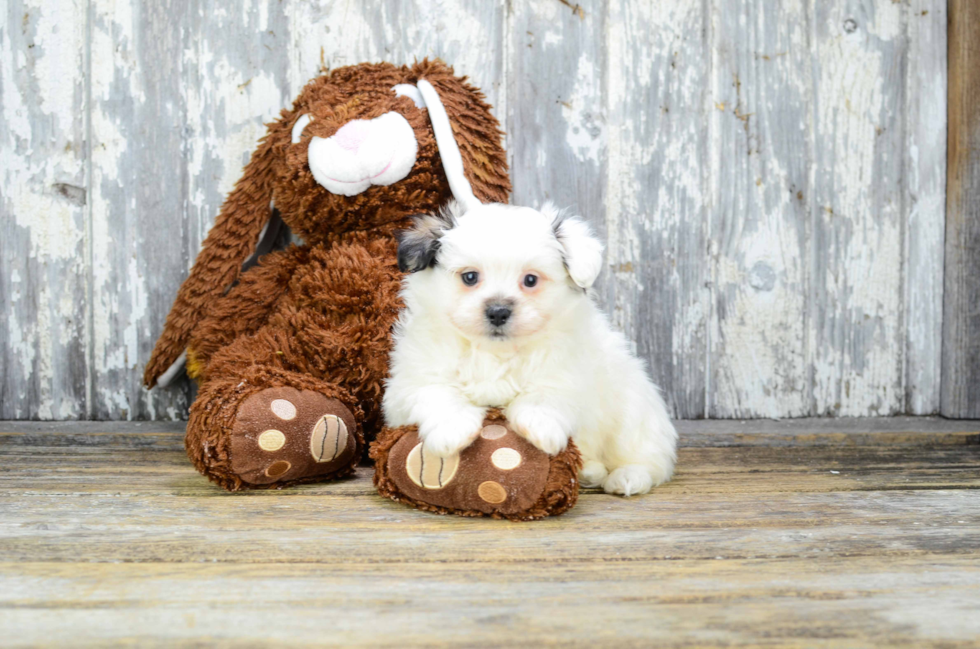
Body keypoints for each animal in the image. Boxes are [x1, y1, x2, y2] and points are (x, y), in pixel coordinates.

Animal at [384, 200, 680, 494]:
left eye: (530, 280)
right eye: (469, 277)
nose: (498, 311)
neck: (494, 352)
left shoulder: (568, 370)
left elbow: (546, 392)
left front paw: (540, 426)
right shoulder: (412, 378)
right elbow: (437, 391)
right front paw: (452, 429)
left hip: (634, 410)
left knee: (649, 458)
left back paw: (627, 477)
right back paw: (590, 471)